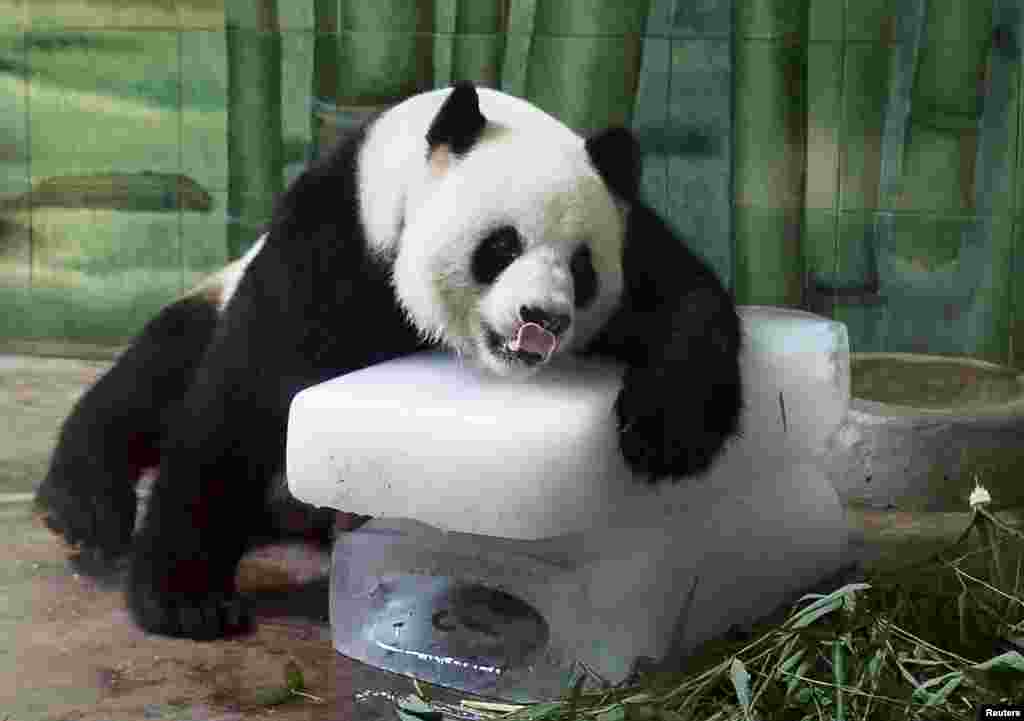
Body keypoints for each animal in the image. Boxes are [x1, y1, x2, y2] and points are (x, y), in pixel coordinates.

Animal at [34, 81, 737, 639]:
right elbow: (242, 398)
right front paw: (187, 602)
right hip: (211, 298)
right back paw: (83, 510)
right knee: (153, 374)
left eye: (582, 266)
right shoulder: (333, 248)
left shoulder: (632, 238)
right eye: (501, 246)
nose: (544, 318)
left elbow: (684, 300)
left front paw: (666, 432)